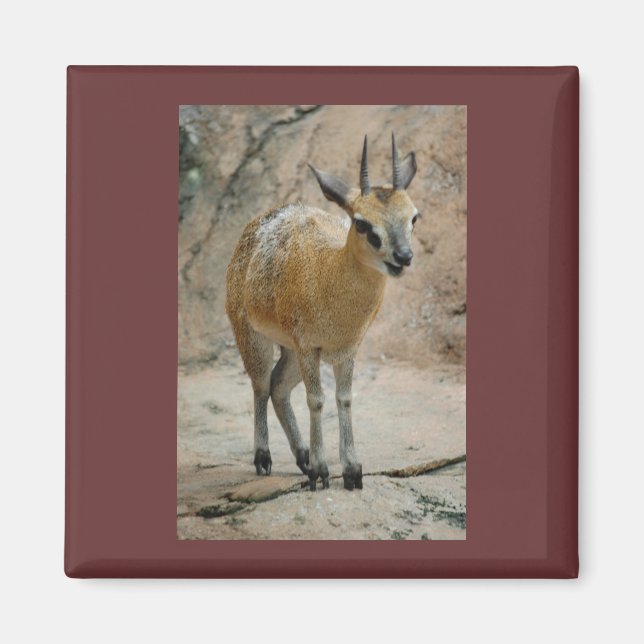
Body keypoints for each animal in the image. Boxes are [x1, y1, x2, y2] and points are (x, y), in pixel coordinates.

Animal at [225, 134, 419, 490]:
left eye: (414, 216)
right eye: (362, 223)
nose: (403, 256)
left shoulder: (347, 348)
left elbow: (344, 398)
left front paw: (352, 470)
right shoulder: (309, 346)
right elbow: (316, 400)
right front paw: (321, 471)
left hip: (288, 350)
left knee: (277, 386)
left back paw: (301, 457)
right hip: (253, 335)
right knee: (261, 385)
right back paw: (264, 459)